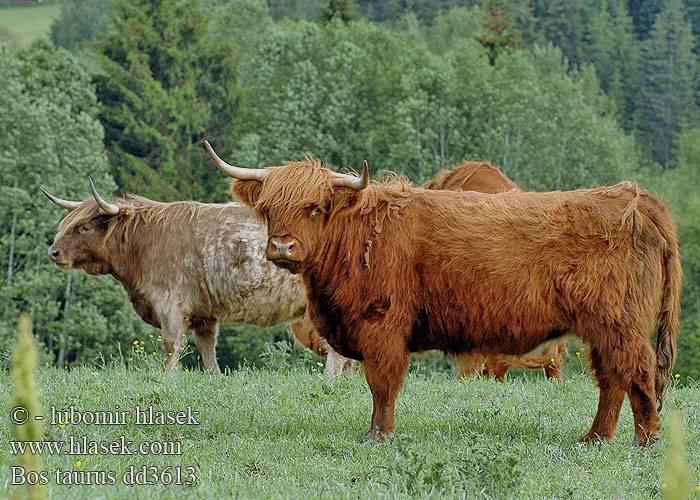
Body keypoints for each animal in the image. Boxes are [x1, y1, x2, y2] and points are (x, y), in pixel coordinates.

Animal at [208, 141, 680, 446]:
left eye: (316, 208)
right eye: (268, 208)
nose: (282, 247)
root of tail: (634, 198)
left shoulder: (382, 328)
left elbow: (382, 384)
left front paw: (378, 436)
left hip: (619, 321)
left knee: (636, 372)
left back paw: (645, 439)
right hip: (604, 328)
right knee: (612, 378)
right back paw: (595, 438)